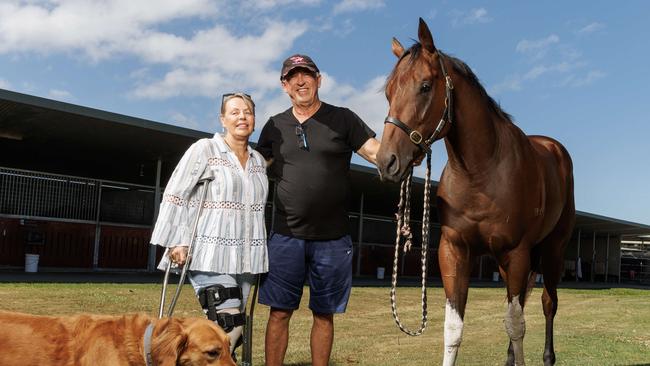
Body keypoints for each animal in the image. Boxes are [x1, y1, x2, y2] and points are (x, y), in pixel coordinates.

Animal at [374, 19, 572, 366]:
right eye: (388, 92)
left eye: (425, 86)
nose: (388, 162)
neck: (481, 172)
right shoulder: (454, 251)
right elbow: (454, 328)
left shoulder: (517, 252)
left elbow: (516, 324)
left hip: (552, 250)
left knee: (548, 303)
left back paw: (548, 356)